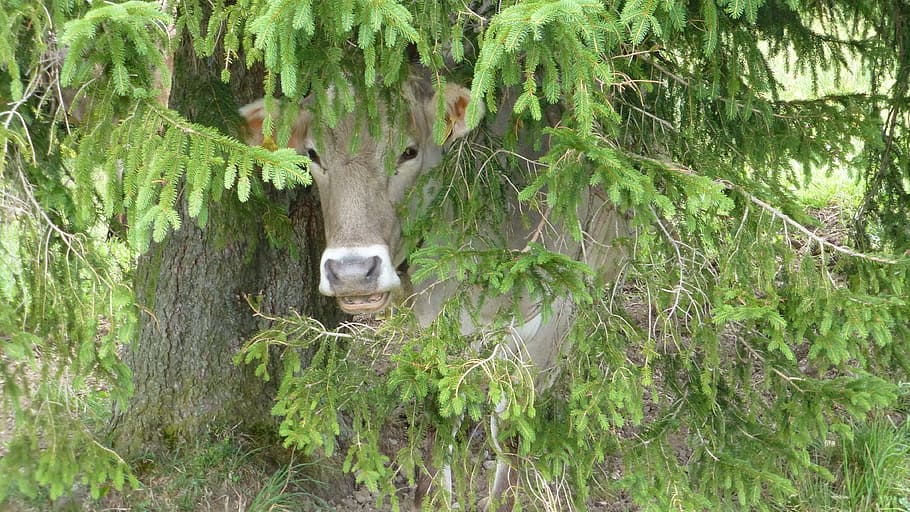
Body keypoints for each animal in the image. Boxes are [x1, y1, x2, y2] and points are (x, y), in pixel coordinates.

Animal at [241, 78, 630, 510]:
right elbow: (437, 417)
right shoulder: (429, 327)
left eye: (409, 151)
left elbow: (511, 432)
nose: (352, 272)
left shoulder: (549, 318)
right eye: (313, 154)